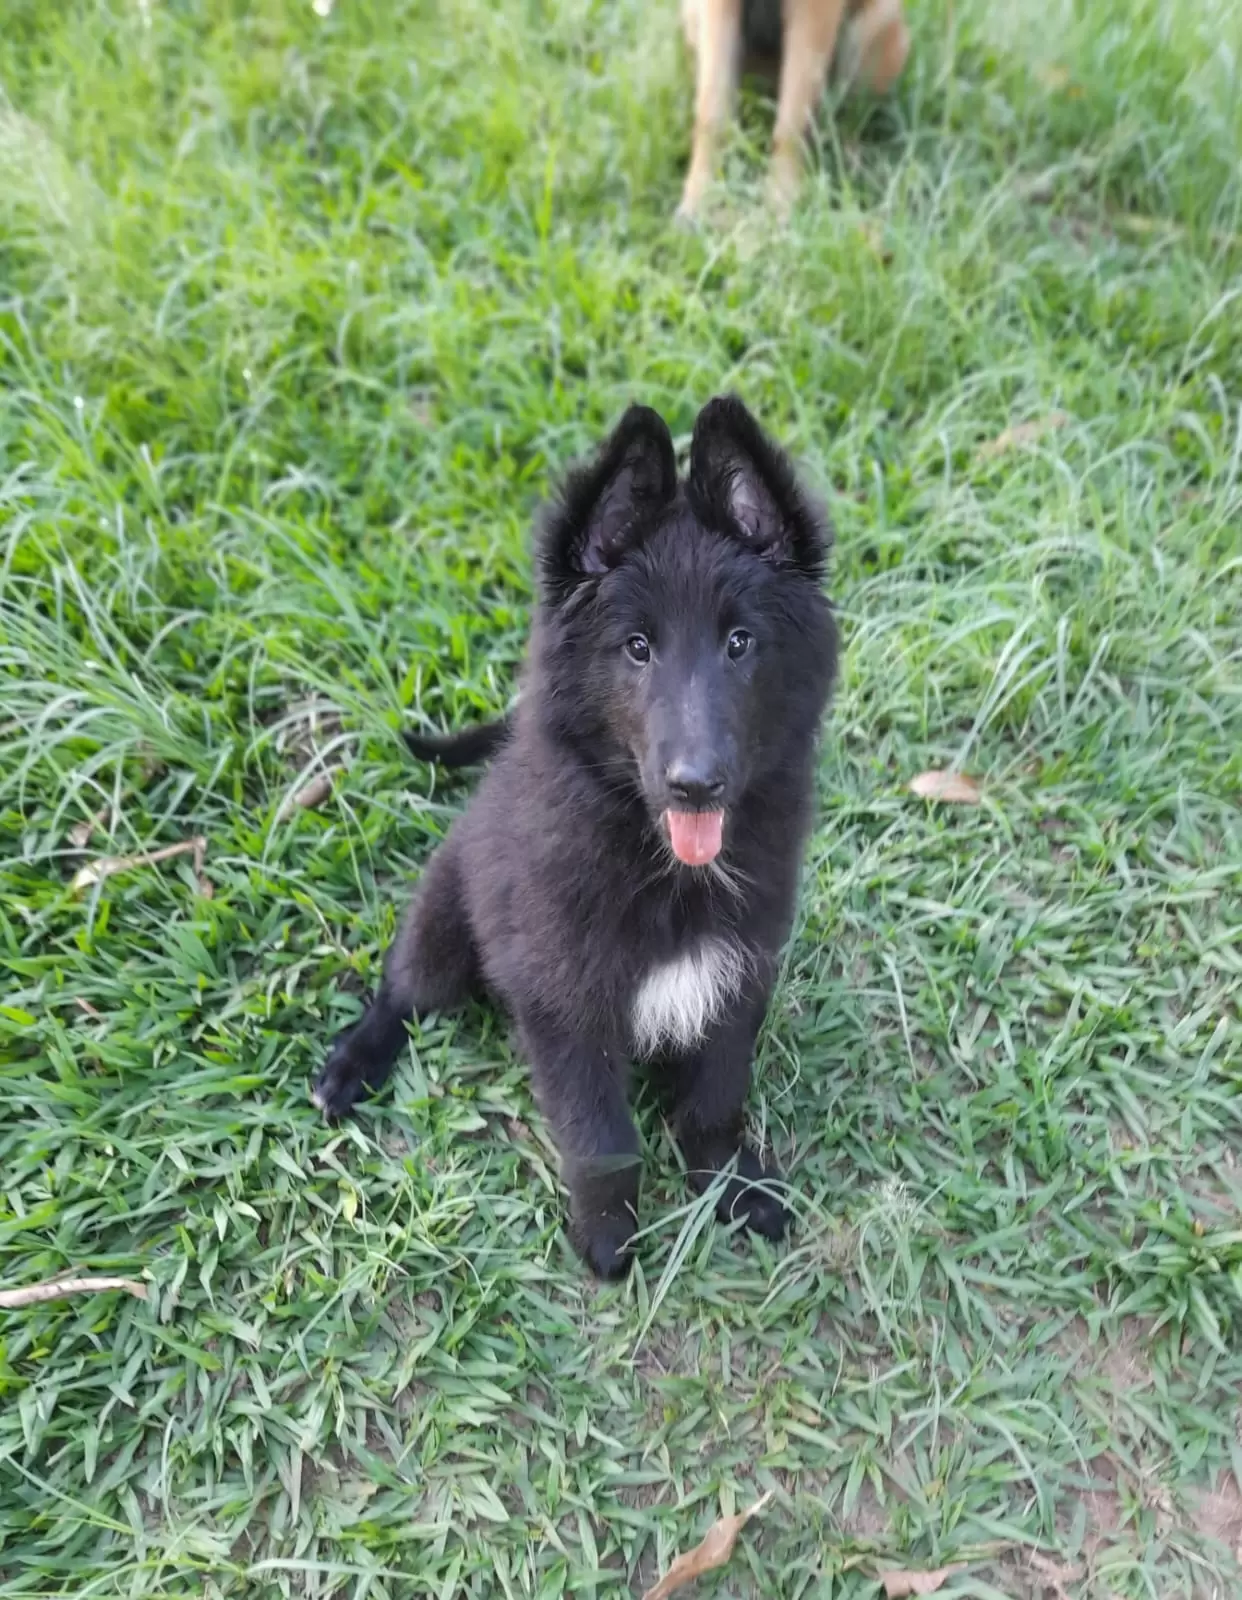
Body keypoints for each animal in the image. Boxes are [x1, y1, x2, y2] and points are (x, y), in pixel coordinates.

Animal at [310, 396, 838, 1273]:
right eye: (637, 647)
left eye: (740, 643)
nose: (696, 783)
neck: (662, 865)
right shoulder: (562, 1000)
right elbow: (601, 1136)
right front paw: (610, 1239)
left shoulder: (734, 974)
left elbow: (714, 1097)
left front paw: (731, 1186)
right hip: (444, 922)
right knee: (403, 993)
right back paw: (351, 1066)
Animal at [675, 0, 909, 222]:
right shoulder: (716, 9)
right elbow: (712, 116)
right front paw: (700, 199)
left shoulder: (814, 12)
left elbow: (791, 125)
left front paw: (779, 204)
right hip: (692, 14)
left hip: (875, 29)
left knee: (849, 120)